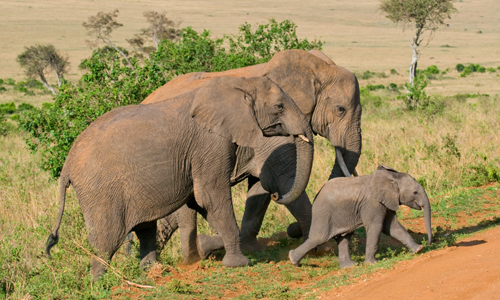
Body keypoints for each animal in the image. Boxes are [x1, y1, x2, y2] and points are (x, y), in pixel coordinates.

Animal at [46, 76, 312, 280]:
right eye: (279, 106)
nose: (275, 195)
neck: (237, 84)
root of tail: (67, 164)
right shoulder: (209, 144)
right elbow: (210, 197)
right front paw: (239, 263)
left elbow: (201, 202)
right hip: (100, 190)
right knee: (107, 239)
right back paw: (101, 284)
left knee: (145, 228)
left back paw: (153, 272)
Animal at [143, 48, 362, 262]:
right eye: (340, 109)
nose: (292, 230)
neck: (317, 67)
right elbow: (282, 178)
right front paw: (323, 249)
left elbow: (260, 186)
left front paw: (251, 248)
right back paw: (190, 258)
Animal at [290, 165, 434, 268]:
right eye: (415, 192)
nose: (428, 243)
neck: (391, 178)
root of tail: (317, 195)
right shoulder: (372, 203)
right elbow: (376, 227)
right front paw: (372, 263)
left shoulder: (386, 202)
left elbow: (392, 227)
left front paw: (418, 250)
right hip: (323, 213)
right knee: (319, 238)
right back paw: (293, 260)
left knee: (343, 238)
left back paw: (349, 266)